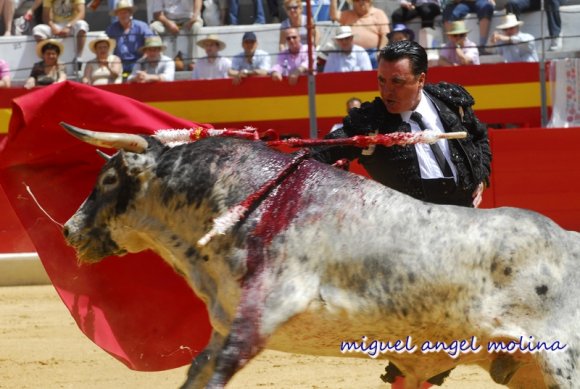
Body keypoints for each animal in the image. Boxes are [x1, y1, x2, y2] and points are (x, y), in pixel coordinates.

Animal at [62, 122, 580, 388]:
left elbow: (216, 375)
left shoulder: (261, 314)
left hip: (562, 362)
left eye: (109, 180)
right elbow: (195, 373)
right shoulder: (226, 324)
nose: (68, 231)